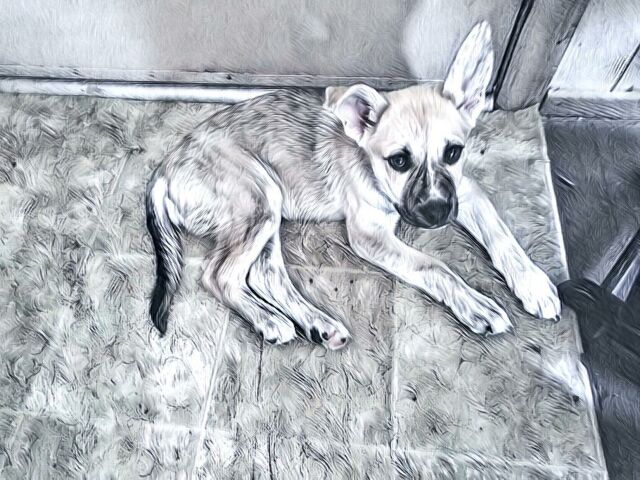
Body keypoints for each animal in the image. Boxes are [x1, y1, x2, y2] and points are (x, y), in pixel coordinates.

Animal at [146, 22, 561, 349]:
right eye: (399, 161)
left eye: (454, 152)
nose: (436, 213)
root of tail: (164, 169)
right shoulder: (369, 235)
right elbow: (435, 266)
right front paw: (476, 305)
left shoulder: (465, 191)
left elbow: (501, 234)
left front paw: (533, 283)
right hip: (258, 201)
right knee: (218, 275)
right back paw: (269, 320)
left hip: (268, 209)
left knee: (266, 275)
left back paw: (318, 324)